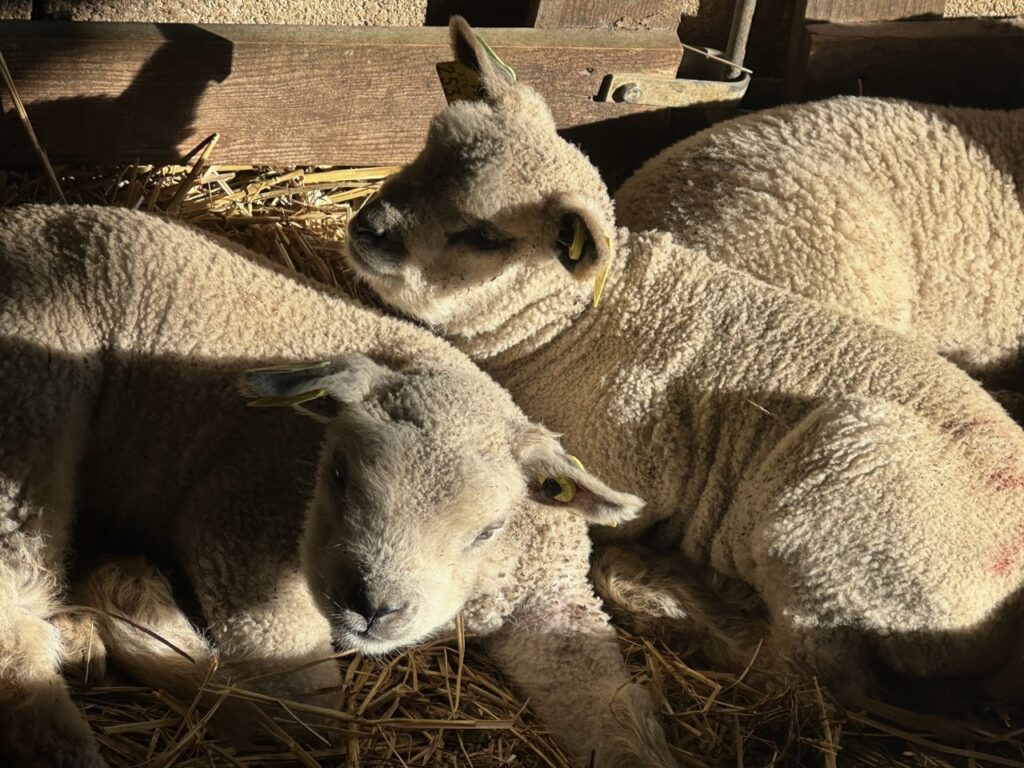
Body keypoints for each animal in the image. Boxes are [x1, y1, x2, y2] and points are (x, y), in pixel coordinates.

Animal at [0, 204, 677, 768]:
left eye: (489, 530)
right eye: (338, 473)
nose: (371, 607)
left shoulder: (550, 598)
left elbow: (610, 711)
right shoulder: (241, 514)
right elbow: (304, 713)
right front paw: (133, 599)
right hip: (33, 406)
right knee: (17, 623)